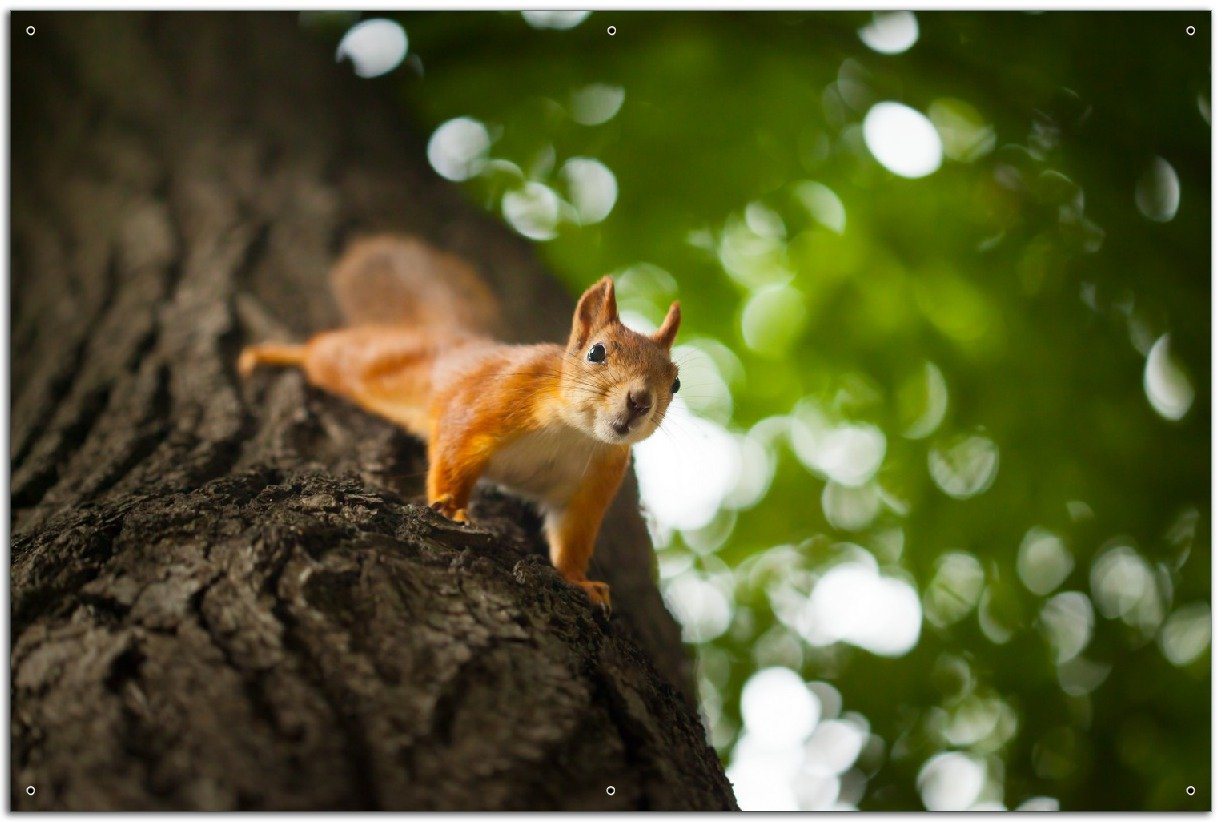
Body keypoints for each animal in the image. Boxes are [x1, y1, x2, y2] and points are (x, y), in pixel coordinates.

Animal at [233, 234, 684, 605]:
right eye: (597, 352)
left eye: (676, 383)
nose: (639, 401)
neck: (574, 433)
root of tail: (452, 339)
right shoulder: (484, 405)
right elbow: (453, 454)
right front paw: (450, 509)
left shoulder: (589, 487)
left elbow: (571, 538)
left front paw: (579, 580)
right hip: (361, 362)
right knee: (320, 352)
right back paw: (271, 353)